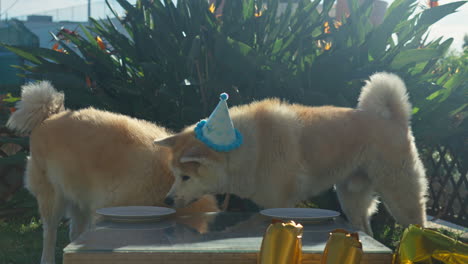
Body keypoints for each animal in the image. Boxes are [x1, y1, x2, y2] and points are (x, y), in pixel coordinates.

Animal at [156, 72, 428, 235]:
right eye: (175, 174)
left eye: (186, 177)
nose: (166, 200)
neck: (253, 148)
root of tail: (395, 119)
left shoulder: (279, 204)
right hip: (351, 196)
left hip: (400, 197)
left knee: (417, 225)